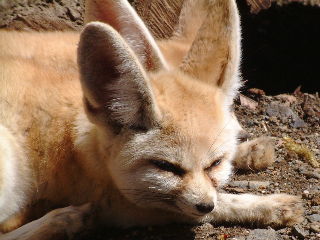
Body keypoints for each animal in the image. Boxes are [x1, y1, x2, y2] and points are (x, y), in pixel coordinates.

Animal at [0, 0, 302, 238]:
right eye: (166, 167)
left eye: (214, 163)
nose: (205, 205)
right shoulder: (120, 202)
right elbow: (213, 204)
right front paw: (270, 205)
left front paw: (249, 152)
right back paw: (60, 222)